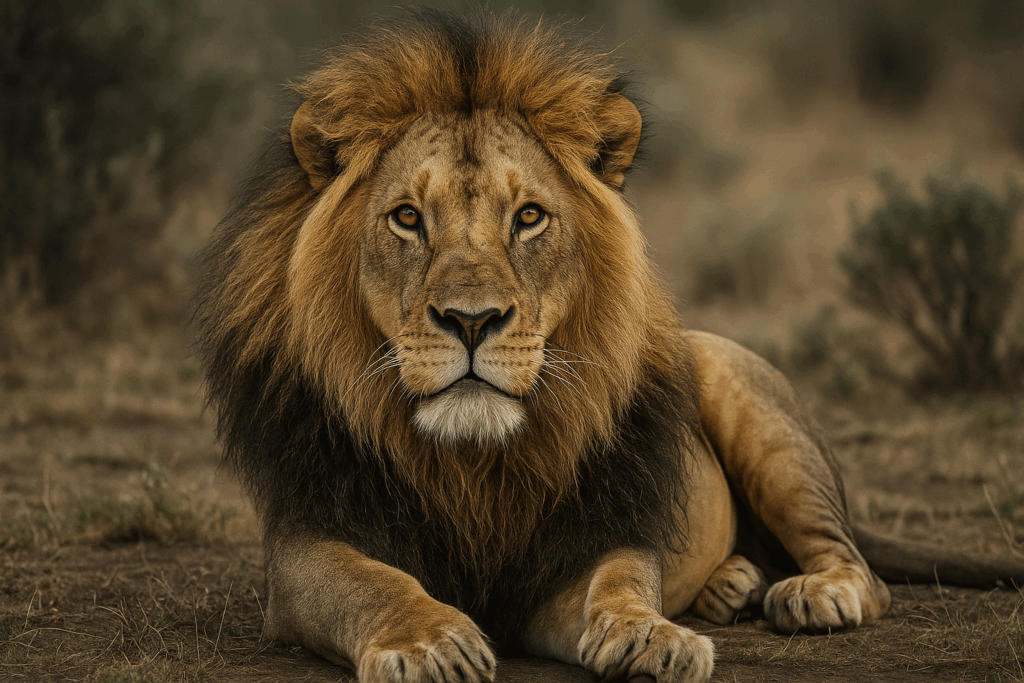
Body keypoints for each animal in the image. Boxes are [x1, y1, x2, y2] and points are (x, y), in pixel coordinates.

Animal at [194, 9, 1024, 683]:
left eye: (529, 217)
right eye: (406, 218)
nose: (472, 319)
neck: (474, 465)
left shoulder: (591, 537)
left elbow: (620, 582)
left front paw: (652, 635)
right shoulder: (306, 542)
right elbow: (375, 583)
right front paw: (428, 641)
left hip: (741, 393)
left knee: (859, 566)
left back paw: (810, 593)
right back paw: (730, 585)